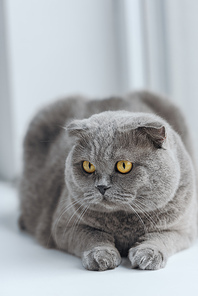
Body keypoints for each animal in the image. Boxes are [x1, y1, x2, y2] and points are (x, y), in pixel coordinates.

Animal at [19, 90, 198, 270]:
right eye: (88, 166)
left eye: (124, 166)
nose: (101, 187)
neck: (125, 221)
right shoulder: (63, 226)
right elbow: (92, 235)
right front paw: (100, 256)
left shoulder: (184, 229)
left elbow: (161, 237)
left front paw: (148, 255)